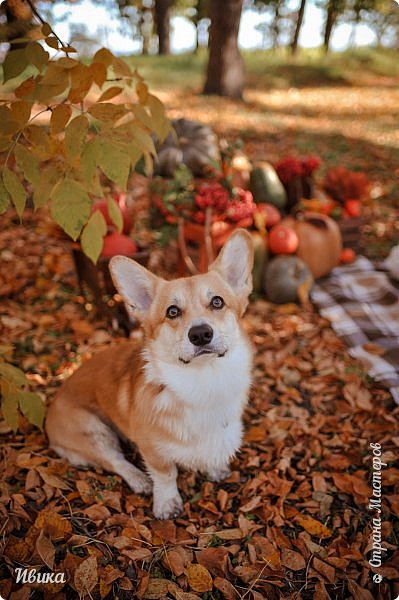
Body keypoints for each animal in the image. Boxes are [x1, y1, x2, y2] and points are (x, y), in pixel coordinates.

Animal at [46, 230, 253, 520]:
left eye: (217, 302)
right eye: (172, 311)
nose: (201, 334)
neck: (202, 382)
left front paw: (214, 468)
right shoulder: (153, 450)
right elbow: (166, 474)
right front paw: (166, 503)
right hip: (93, 430)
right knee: (115, 460)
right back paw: (139, 480)